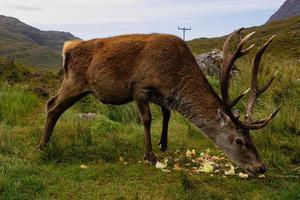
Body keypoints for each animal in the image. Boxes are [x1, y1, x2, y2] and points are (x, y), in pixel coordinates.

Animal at [37, 28, 278, 176]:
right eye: (239, 140)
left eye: (251, 138)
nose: (261, 167)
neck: (173, 77)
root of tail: (67, 49)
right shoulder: (140, 87)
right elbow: (147, 119)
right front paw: (150, 156)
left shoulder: (162, 96)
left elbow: (167, 114)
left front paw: (163, 144)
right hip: (74, 82)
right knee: (52, 106)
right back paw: (42, 145)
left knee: (52, 104)